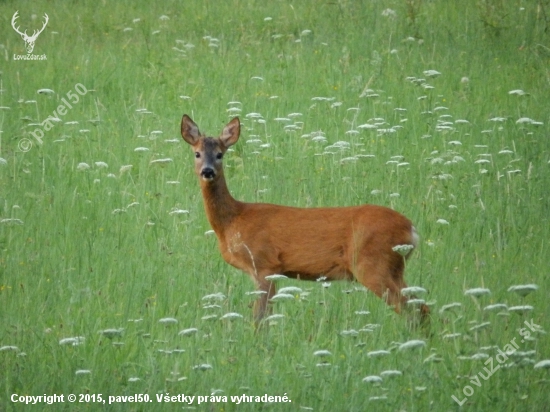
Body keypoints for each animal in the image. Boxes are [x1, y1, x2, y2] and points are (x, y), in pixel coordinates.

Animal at [181, 114, 432, 324]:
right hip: (394, 268)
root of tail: (411, 229)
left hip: (372, 263)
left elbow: (261, 319)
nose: (207, 171)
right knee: (422, 307)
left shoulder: (264, 264)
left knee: (414, 310)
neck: (233, 220)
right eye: (197, 153)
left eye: (220, 154)